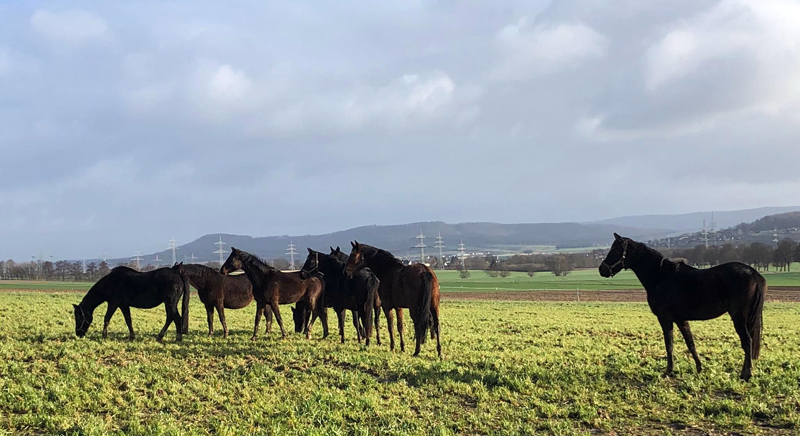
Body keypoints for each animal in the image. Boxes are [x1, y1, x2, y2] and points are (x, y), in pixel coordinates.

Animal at [596, 233, 764, 380]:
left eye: (615, 250)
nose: (601, 269)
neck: (661, 277)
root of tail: (754, 273)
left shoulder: (665, 319)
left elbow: (669, 345)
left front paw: (668, 371)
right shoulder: (681, 320)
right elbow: (690, 344)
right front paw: (699, 368)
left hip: (739, 318)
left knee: (747, 341)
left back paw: (746, 374)